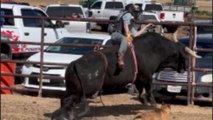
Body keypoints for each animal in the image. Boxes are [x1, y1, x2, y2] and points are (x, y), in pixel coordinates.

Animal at [51, 32, 186, 119]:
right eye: (182, 55)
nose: (184, 69)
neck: (155, 48)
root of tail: (74, 64)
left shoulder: (139, 78)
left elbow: (140, 91)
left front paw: (143, 100)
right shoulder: (146, 75)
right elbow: (149, 90)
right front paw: (152, 104)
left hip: (72, 89)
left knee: (63, 100)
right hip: (81, 92)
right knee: (67, 101)